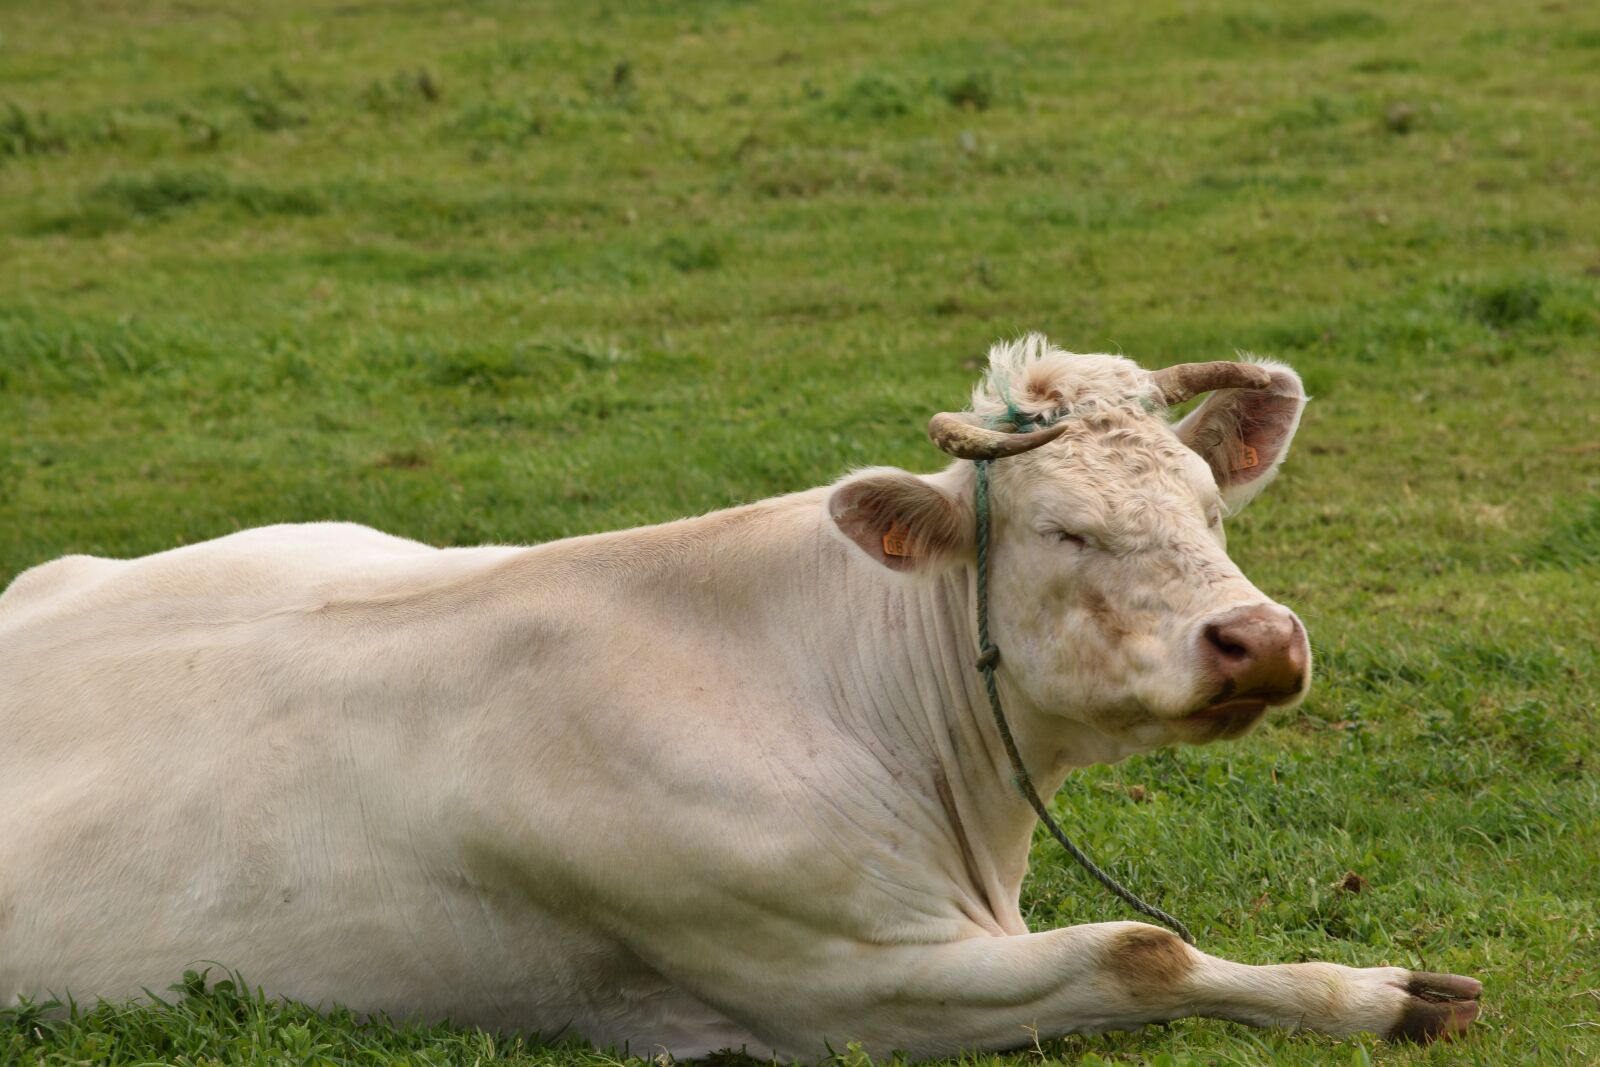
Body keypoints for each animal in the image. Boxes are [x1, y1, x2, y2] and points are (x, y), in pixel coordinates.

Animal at [0, 335, 1480, 1058]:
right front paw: (1378, 994)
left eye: (1204, 506)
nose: (1261, 639)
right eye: (1065, 530)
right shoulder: (834, 985)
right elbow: (1142, 948)